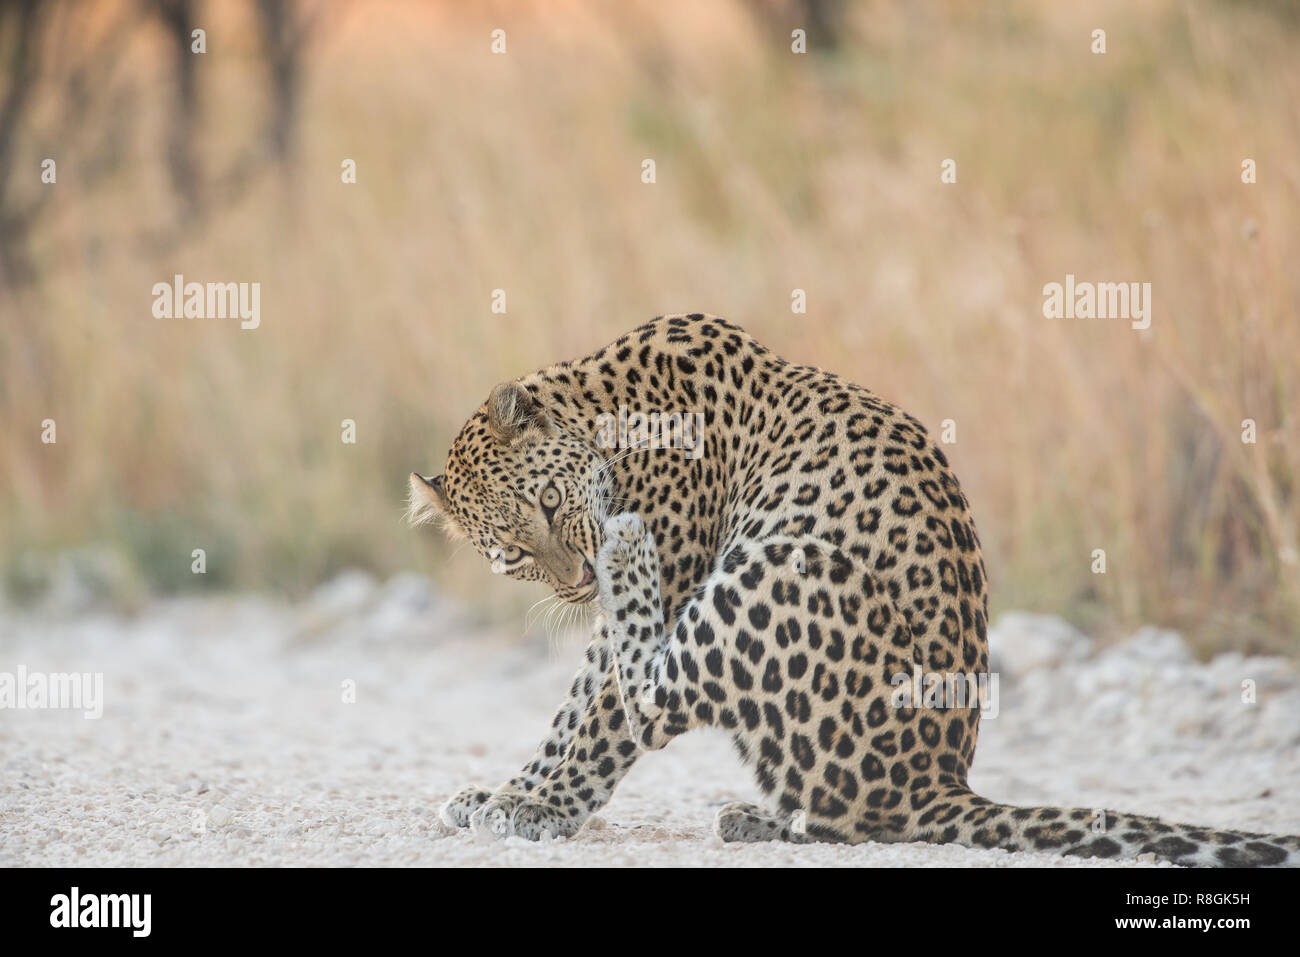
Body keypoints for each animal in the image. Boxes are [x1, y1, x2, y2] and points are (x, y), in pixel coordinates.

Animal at [408, 314, 1300, 868]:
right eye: (514, 554)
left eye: (550, 505)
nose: (578, 582)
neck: (606, 412)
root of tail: (938, 779)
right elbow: (573, 710)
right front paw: (506, 791)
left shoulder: (678, 568)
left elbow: (599, 718)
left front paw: (539, 806)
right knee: (840, 813)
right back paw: (760, 817)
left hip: (774, 564)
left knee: (660, 694)